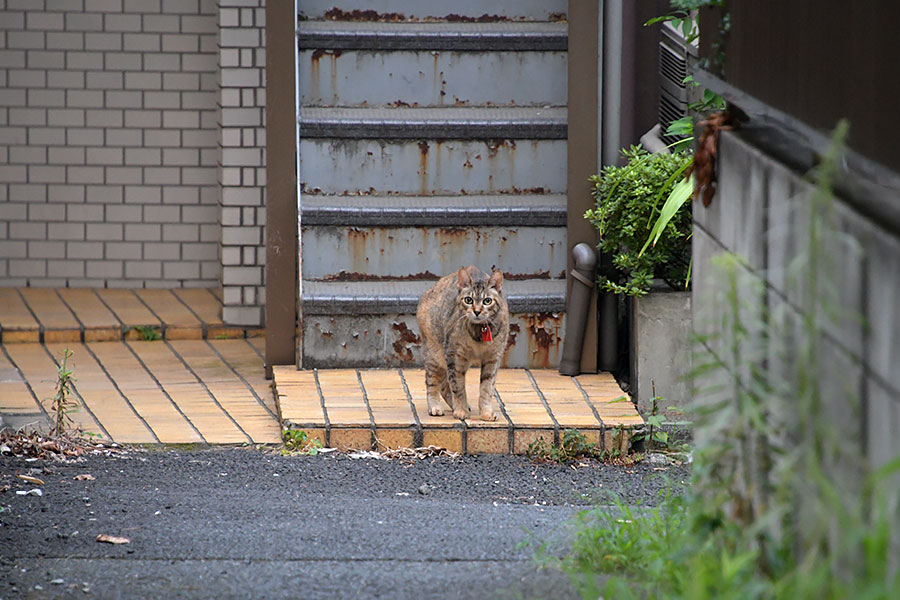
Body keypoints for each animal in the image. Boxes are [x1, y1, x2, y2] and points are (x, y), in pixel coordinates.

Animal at [418, 264, 510, 424]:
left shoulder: (493, 358)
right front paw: (460, 411)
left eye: (487, 301)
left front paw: (486, 413)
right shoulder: (455, 356)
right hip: (434, 355)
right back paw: (435, 407)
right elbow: (458, 386)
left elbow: (487, 388)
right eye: (468, 300)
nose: (477, 311)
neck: (479, 332)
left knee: (444, 385)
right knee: (433, 382)